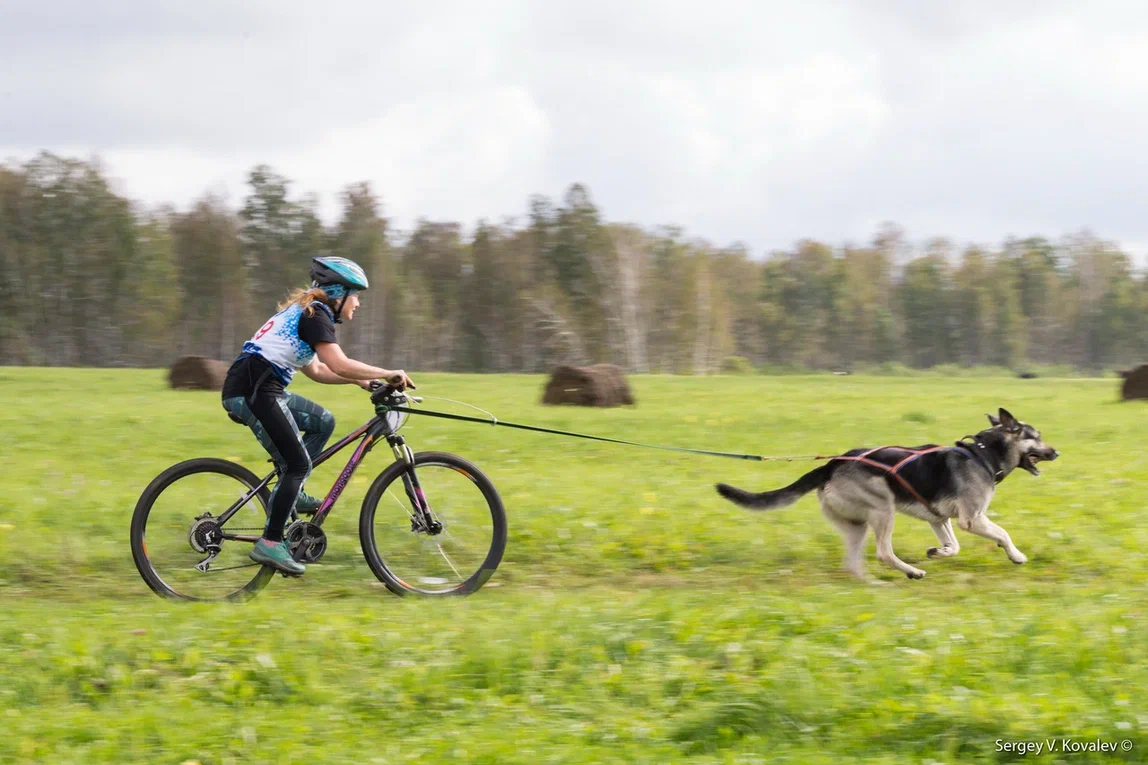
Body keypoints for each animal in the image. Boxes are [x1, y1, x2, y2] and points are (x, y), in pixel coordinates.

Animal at [716, 411, 1056, 578]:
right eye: (1036, 436)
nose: (1057, 452)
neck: (984, 453)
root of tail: (831, 464)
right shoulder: (972, 519)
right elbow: (1003, 534)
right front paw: (1017, 556)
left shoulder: (939, 519)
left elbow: (953, 546)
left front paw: (939, 552)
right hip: (883, 509)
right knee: (883, 552)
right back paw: (911, 572)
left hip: (856, 526)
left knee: (853, 564)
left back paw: (875, 586)